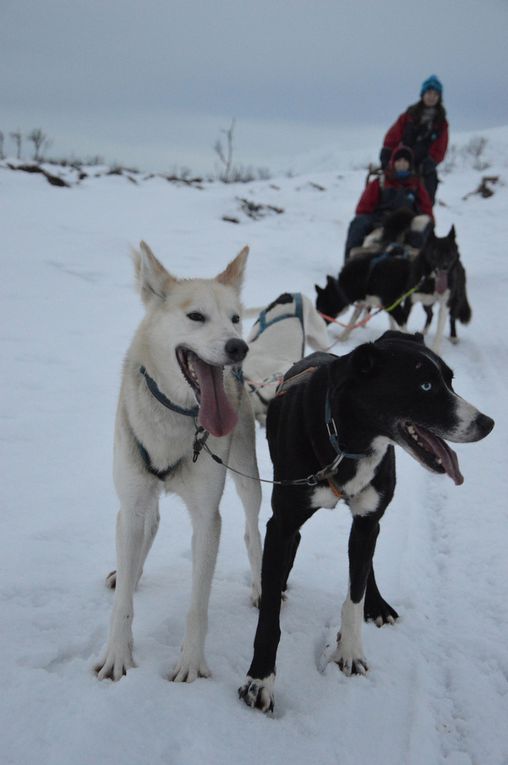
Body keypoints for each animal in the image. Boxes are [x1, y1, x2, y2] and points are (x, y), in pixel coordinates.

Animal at [95, 243, 262, 680]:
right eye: (196, 316)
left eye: (235, 318)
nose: (239, 347)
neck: (176, 418)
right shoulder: (132, 503)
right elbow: (122, 602)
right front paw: (117, 654)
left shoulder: (207, 517)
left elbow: (197, 604)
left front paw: (191, 663)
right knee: (148, 525)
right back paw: (130, 570)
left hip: (248, 477)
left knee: (253, 531)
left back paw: (260, 586)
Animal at [240, 332, 494, 712]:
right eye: (425, 385)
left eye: (450, 381)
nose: (488, 423)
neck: (345, 443)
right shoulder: (282, 523)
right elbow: (269, 618)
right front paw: (260, 680)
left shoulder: (366, 522)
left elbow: (354, 595)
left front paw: (350, 651)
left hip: (369, 519)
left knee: (365, 562)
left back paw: (377, 604)